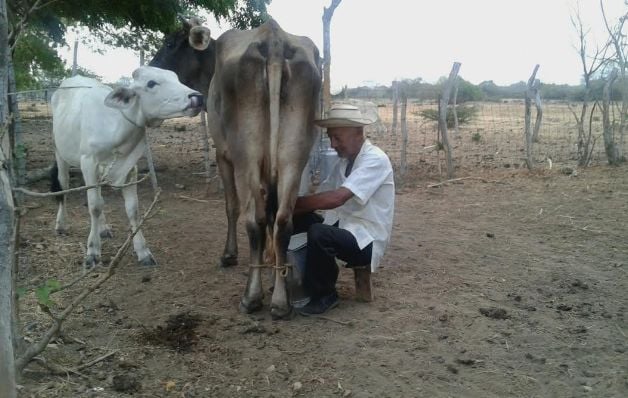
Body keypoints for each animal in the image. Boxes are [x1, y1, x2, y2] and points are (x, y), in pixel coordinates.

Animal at [52, 66, 204, 268]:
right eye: (151, 83)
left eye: (176, 78)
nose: (197, 97)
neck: (117, 129)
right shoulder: (88, 163)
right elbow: (94, 206)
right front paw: (92, 251)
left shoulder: (130, 169)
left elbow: (132, 209)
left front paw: (143, 251)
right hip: (60, 153)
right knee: (64, 187)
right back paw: (61, 224)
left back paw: (103, 228)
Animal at [151, 18, 318, 318]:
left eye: (170, 43)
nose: (151, 67)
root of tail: (274, 38)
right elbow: (272, 212)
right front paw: (270, 261)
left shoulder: (223, 155)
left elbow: (231, 207)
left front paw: (229, 255)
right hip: (294, 155)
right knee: (282, 219)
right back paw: (280, 301)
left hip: (246, 155)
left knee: (254, 220)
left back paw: (252, 296)